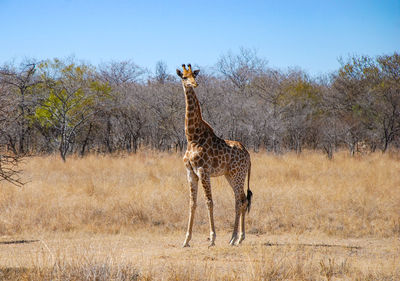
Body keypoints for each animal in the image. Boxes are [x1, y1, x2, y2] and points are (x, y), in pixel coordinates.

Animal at [176, 63, 252, 245]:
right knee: (242, 200)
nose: (194, 84)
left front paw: (212, 238)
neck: (192, 137)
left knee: (240, 201)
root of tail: (248, 155)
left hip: (238, 175)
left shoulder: (203, 171)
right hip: (230, 175)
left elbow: (209, 202)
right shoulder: (190, 172)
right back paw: (237, 238)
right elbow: (192, 203)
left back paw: (235, 238)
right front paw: (186, 240)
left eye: (194, 75)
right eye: (184, 77)